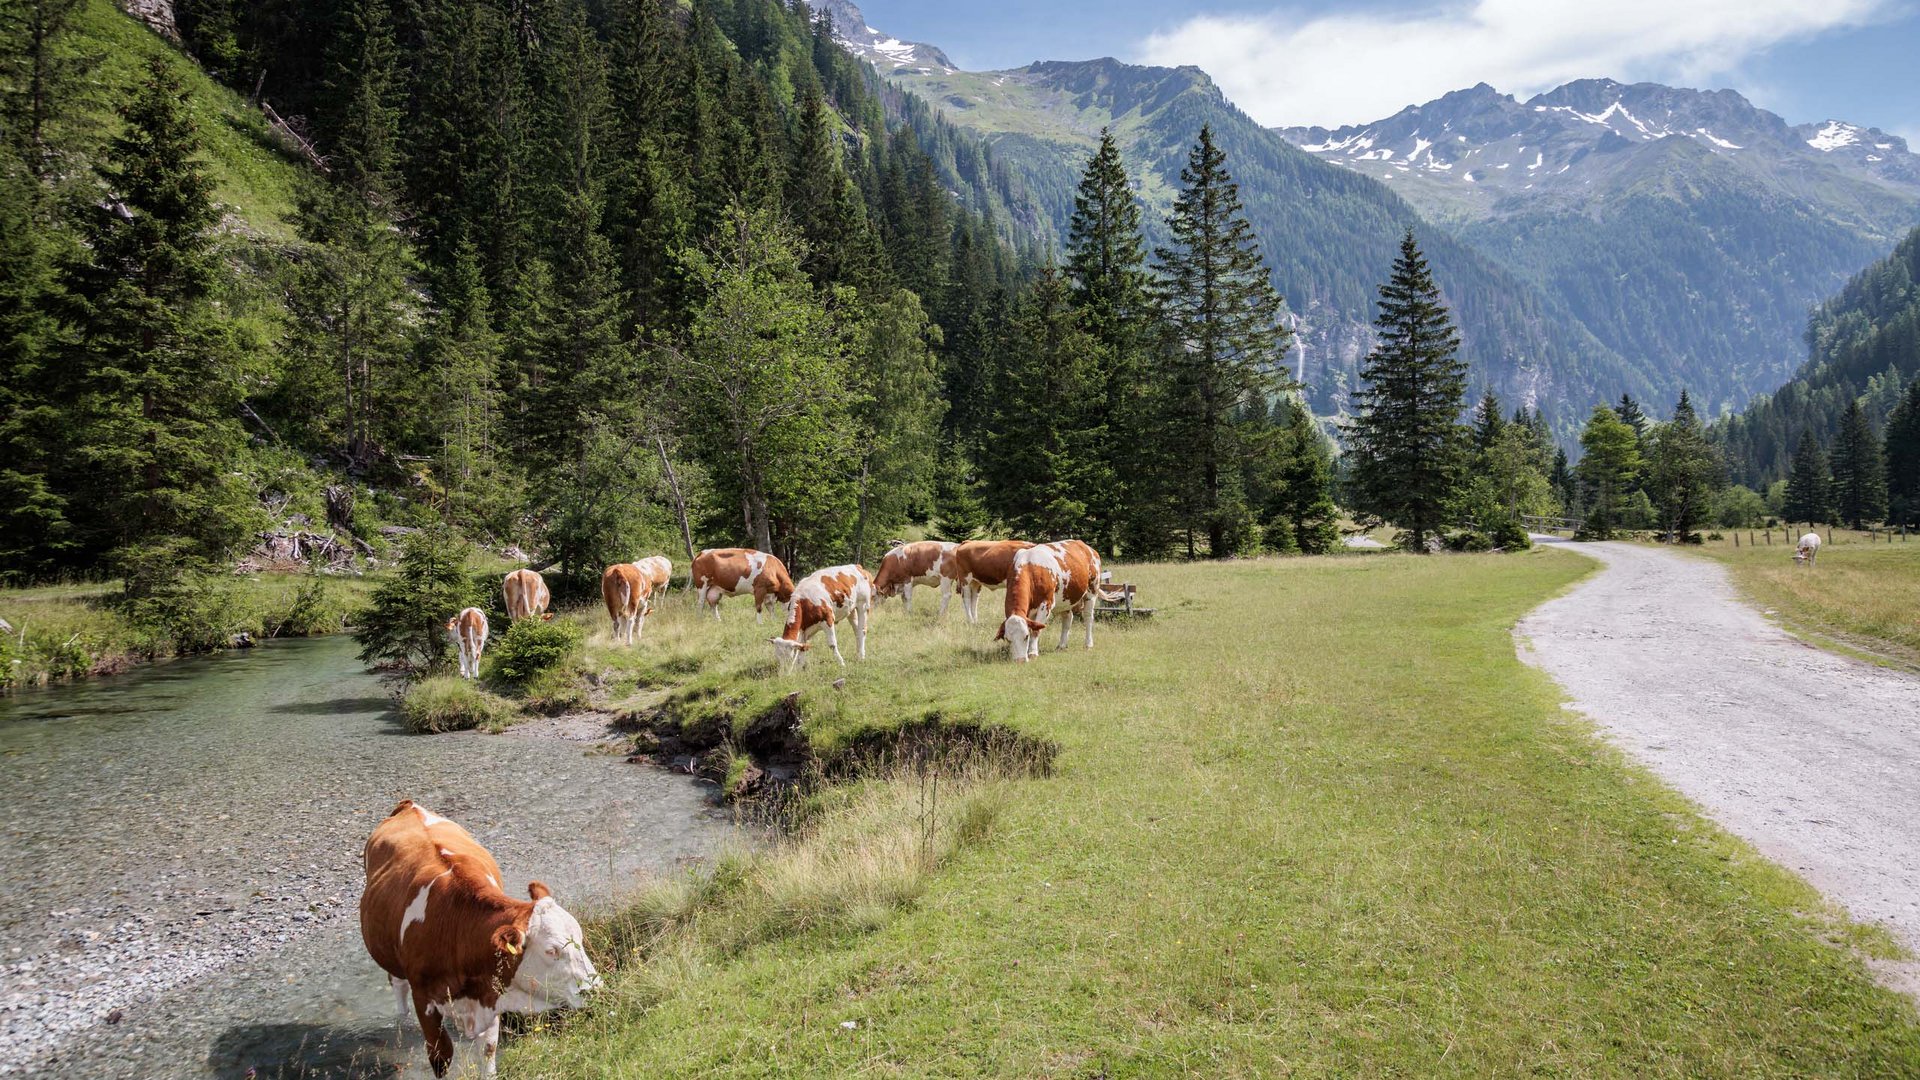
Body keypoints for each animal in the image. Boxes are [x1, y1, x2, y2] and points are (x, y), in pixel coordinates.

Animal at [360, 795, 599, 1068]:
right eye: (551, 951)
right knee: (398, 987)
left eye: (581, 938)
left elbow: (488, 1049)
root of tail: (409, 806)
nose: (595, 989)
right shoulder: (425, 1002)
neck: (456, 929)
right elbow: (441, 1057)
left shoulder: (491, 991)